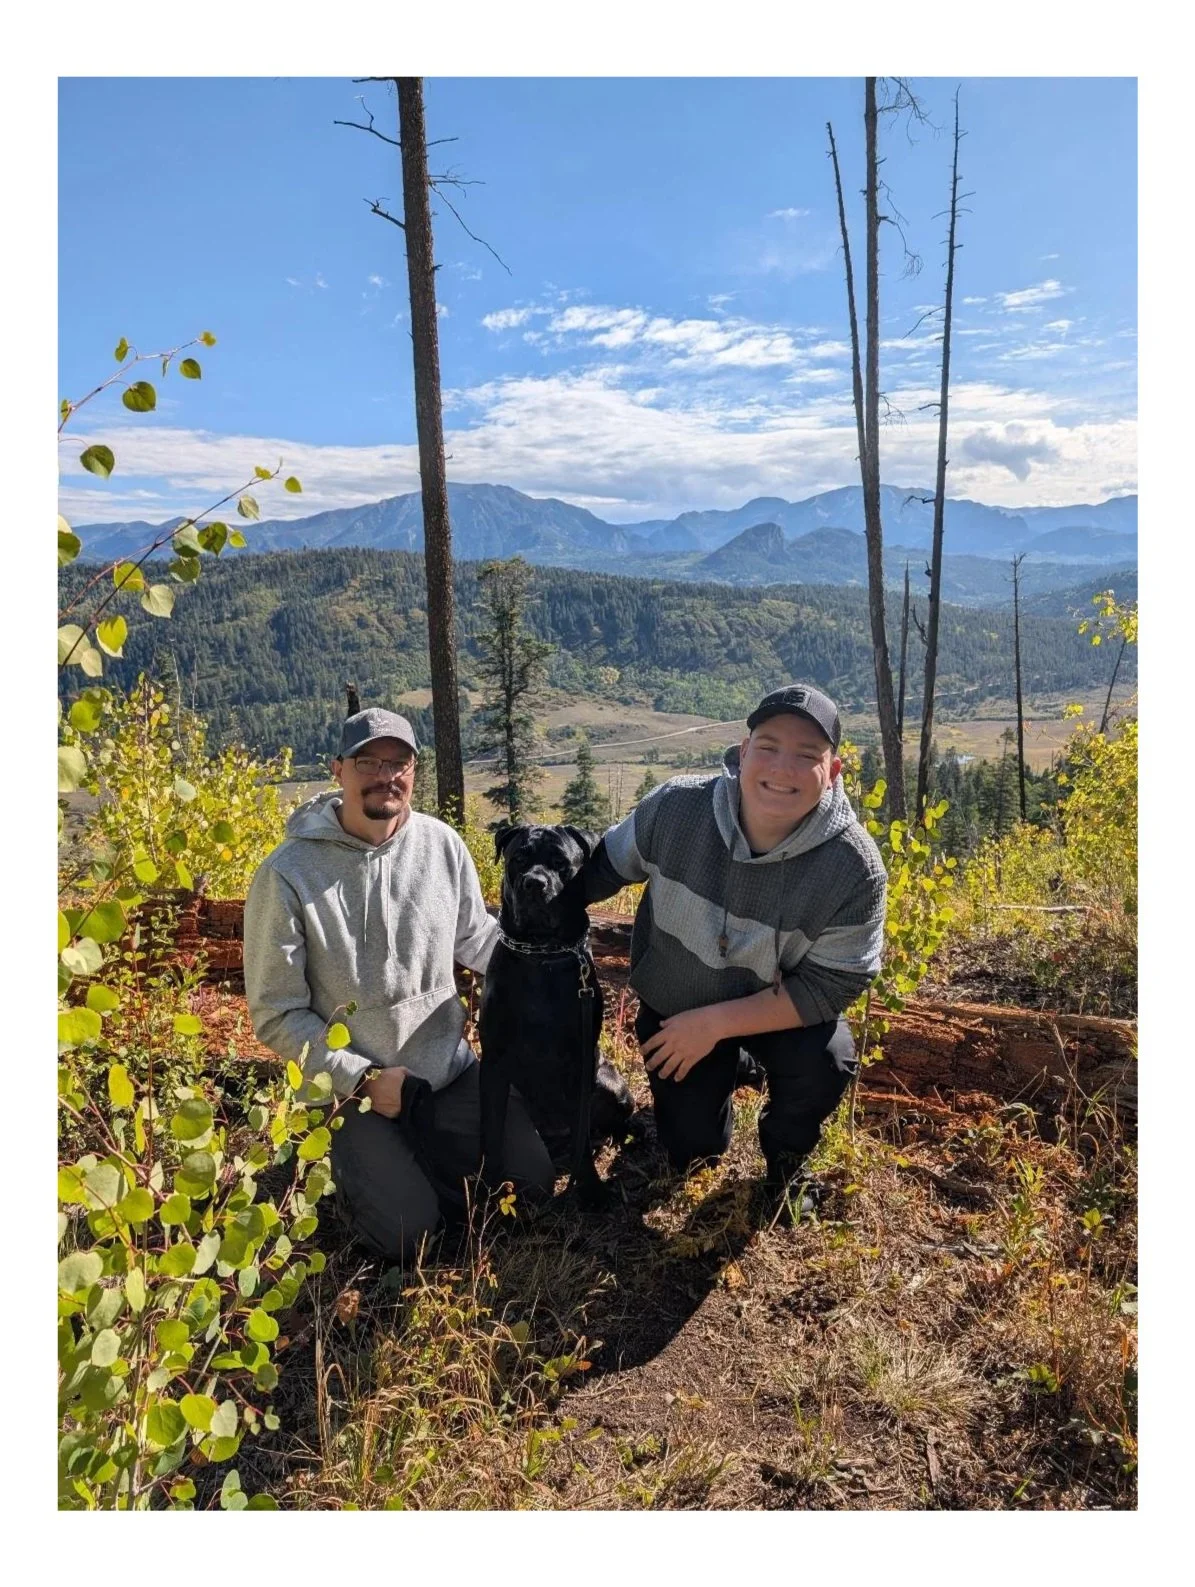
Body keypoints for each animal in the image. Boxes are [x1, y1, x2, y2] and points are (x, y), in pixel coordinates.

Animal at [479, 823, 635, 1205]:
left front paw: (591, 1188)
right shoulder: (494, 1061)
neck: (541, 953)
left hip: (608, 1081)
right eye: (519, 858)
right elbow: (491, 1129)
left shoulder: (581, 1060)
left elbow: (582, 1131)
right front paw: (489, 1189)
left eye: (561, 863)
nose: (534, 884)